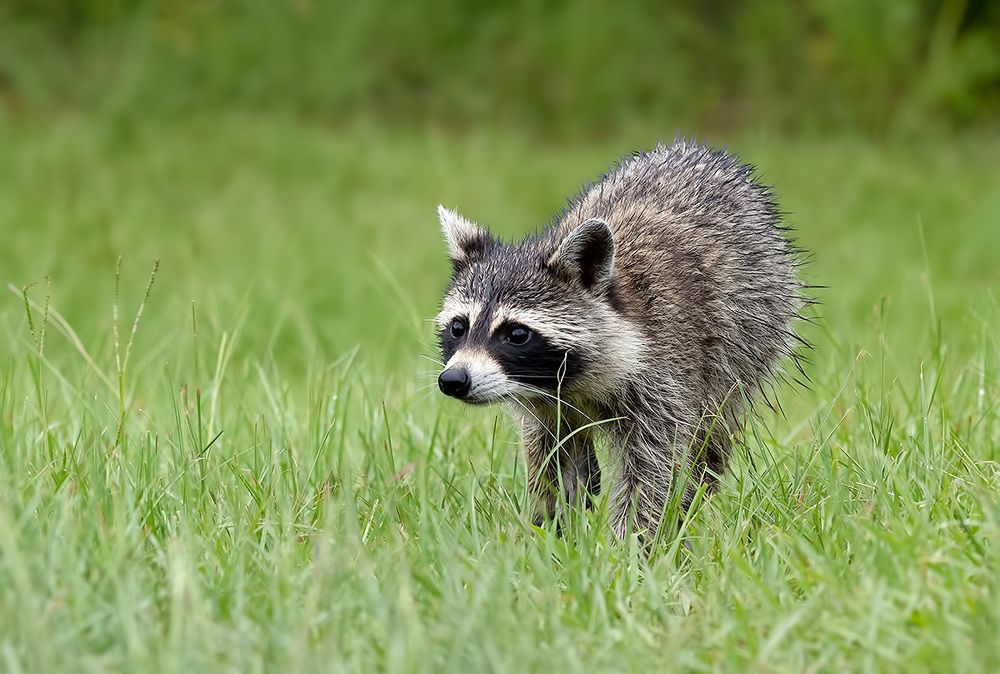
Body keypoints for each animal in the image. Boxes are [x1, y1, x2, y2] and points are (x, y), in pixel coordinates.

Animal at [435, 140, 805, 539]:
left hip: (750, 340)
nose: (454, 380)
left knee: (711, 438)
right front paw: (548, 528)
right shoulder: (541, 403)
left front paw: (631, 542)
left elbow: (653, 467)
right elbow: (546, 455)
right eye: (459, 327)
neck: (569, 383)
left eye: (516, 334)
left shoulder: (664, 378)